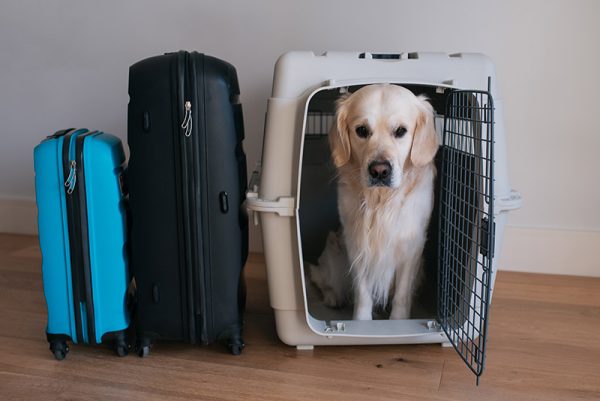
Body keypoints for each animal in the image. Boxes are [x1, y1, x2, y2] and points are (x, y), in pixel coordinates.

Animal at [312, 83, 438, 318]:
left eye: (401, 131)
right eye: (361, 130)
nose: (380, 171)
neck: (382, 199)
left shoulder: (412, 245)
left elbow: (402, 295)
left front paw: (398, 321)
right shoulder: (357, 242)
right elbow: (363, 294)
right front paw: (361, 322)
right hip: (333, 253)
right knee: (321, 278)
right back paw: (334, 297)